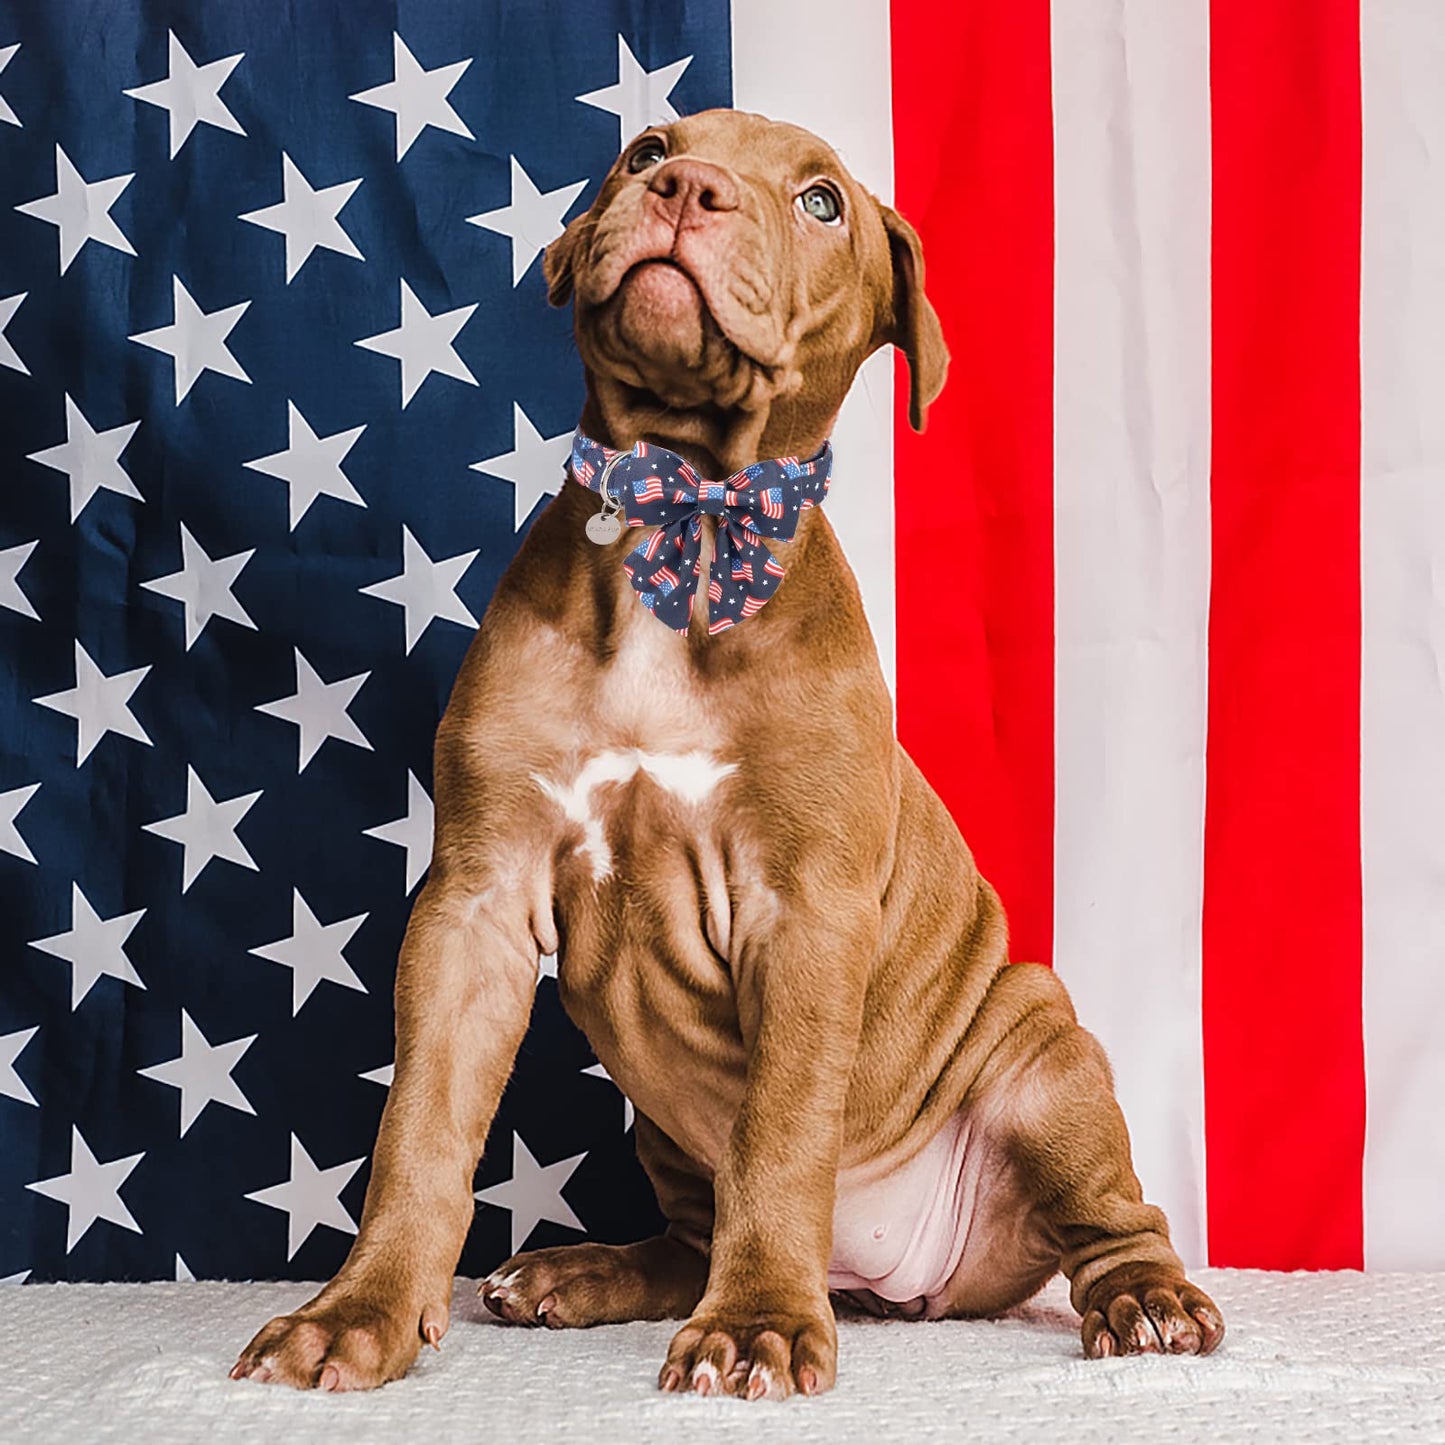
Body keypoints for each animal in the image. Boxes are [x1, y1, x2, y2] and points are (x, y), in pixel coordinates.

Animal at [228, 112, 1219, 1398]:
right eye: (647, 148)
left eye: (821, 203)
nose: (685, 188)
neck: (683, 512)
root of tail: (886, 1277)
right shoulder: (473, 905)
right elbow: (420, 1131)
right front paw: (358, 1312)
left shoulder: (805, 913)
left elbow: (782, 1133)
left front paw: (753, 1322)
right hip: (657, 1117)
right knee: (690, 1228)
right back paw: (580, 1273)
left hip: (1044, 1054)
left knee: (1110, 1217)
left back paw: (1144, 1300)